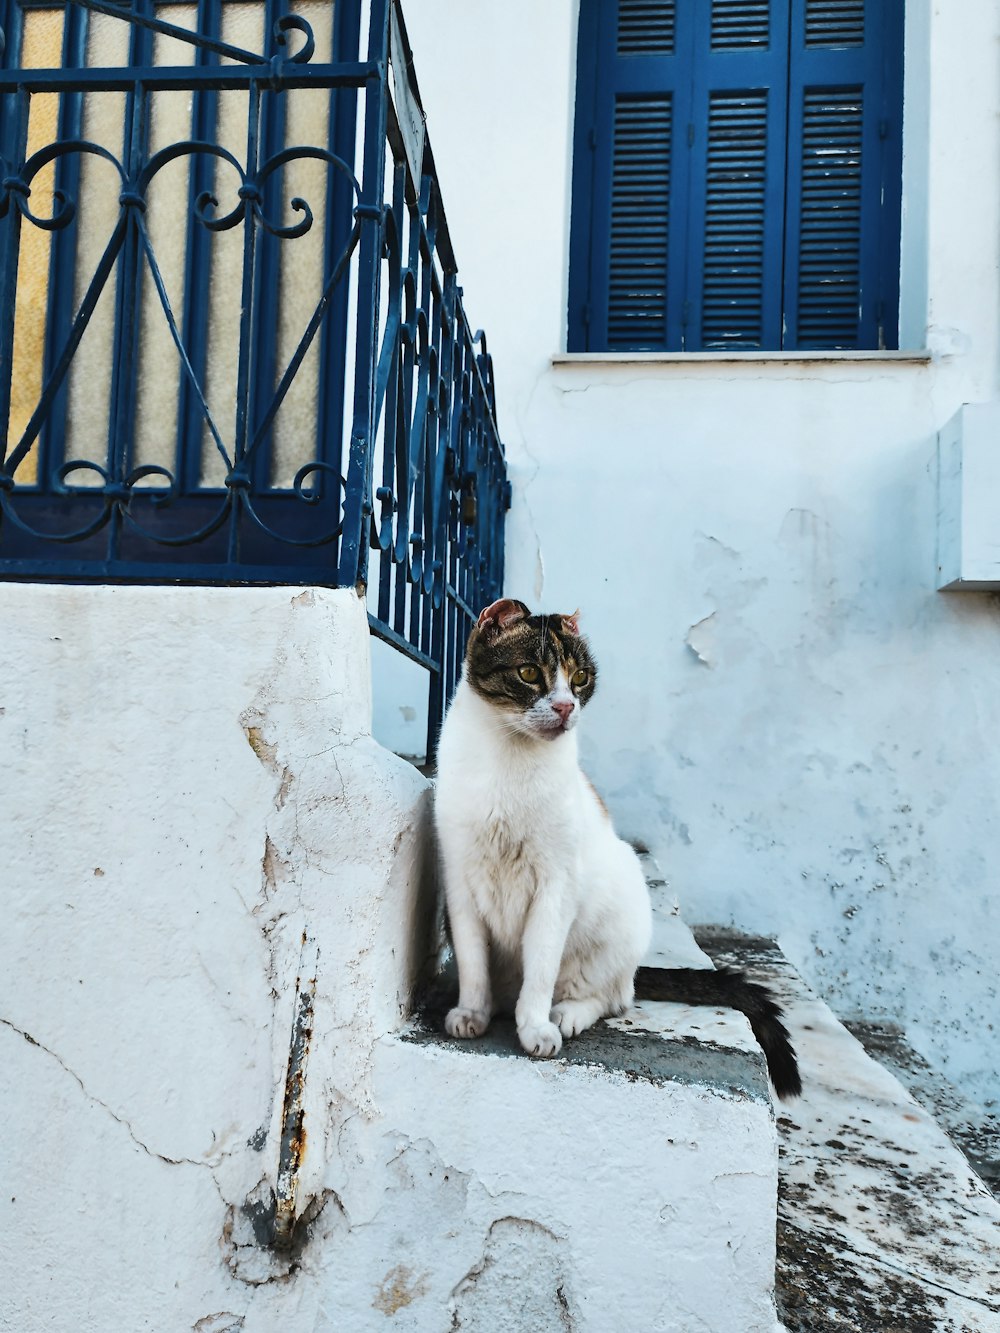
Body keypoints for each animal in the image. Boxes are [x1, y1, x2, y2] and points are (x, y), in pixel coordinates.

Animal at [434, 599, 805, 1098]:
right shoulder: (459, 879)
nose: (566, 706)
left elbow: (542, 966)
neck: (509, 762)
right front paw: (471, 1011)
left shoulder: (556, 884)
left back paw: (565, 1014)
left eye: (580, 678)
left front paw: (535, 1027)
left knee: (613, 997)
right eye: (529, 673)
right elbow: (473, 962)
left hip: (617, 918)